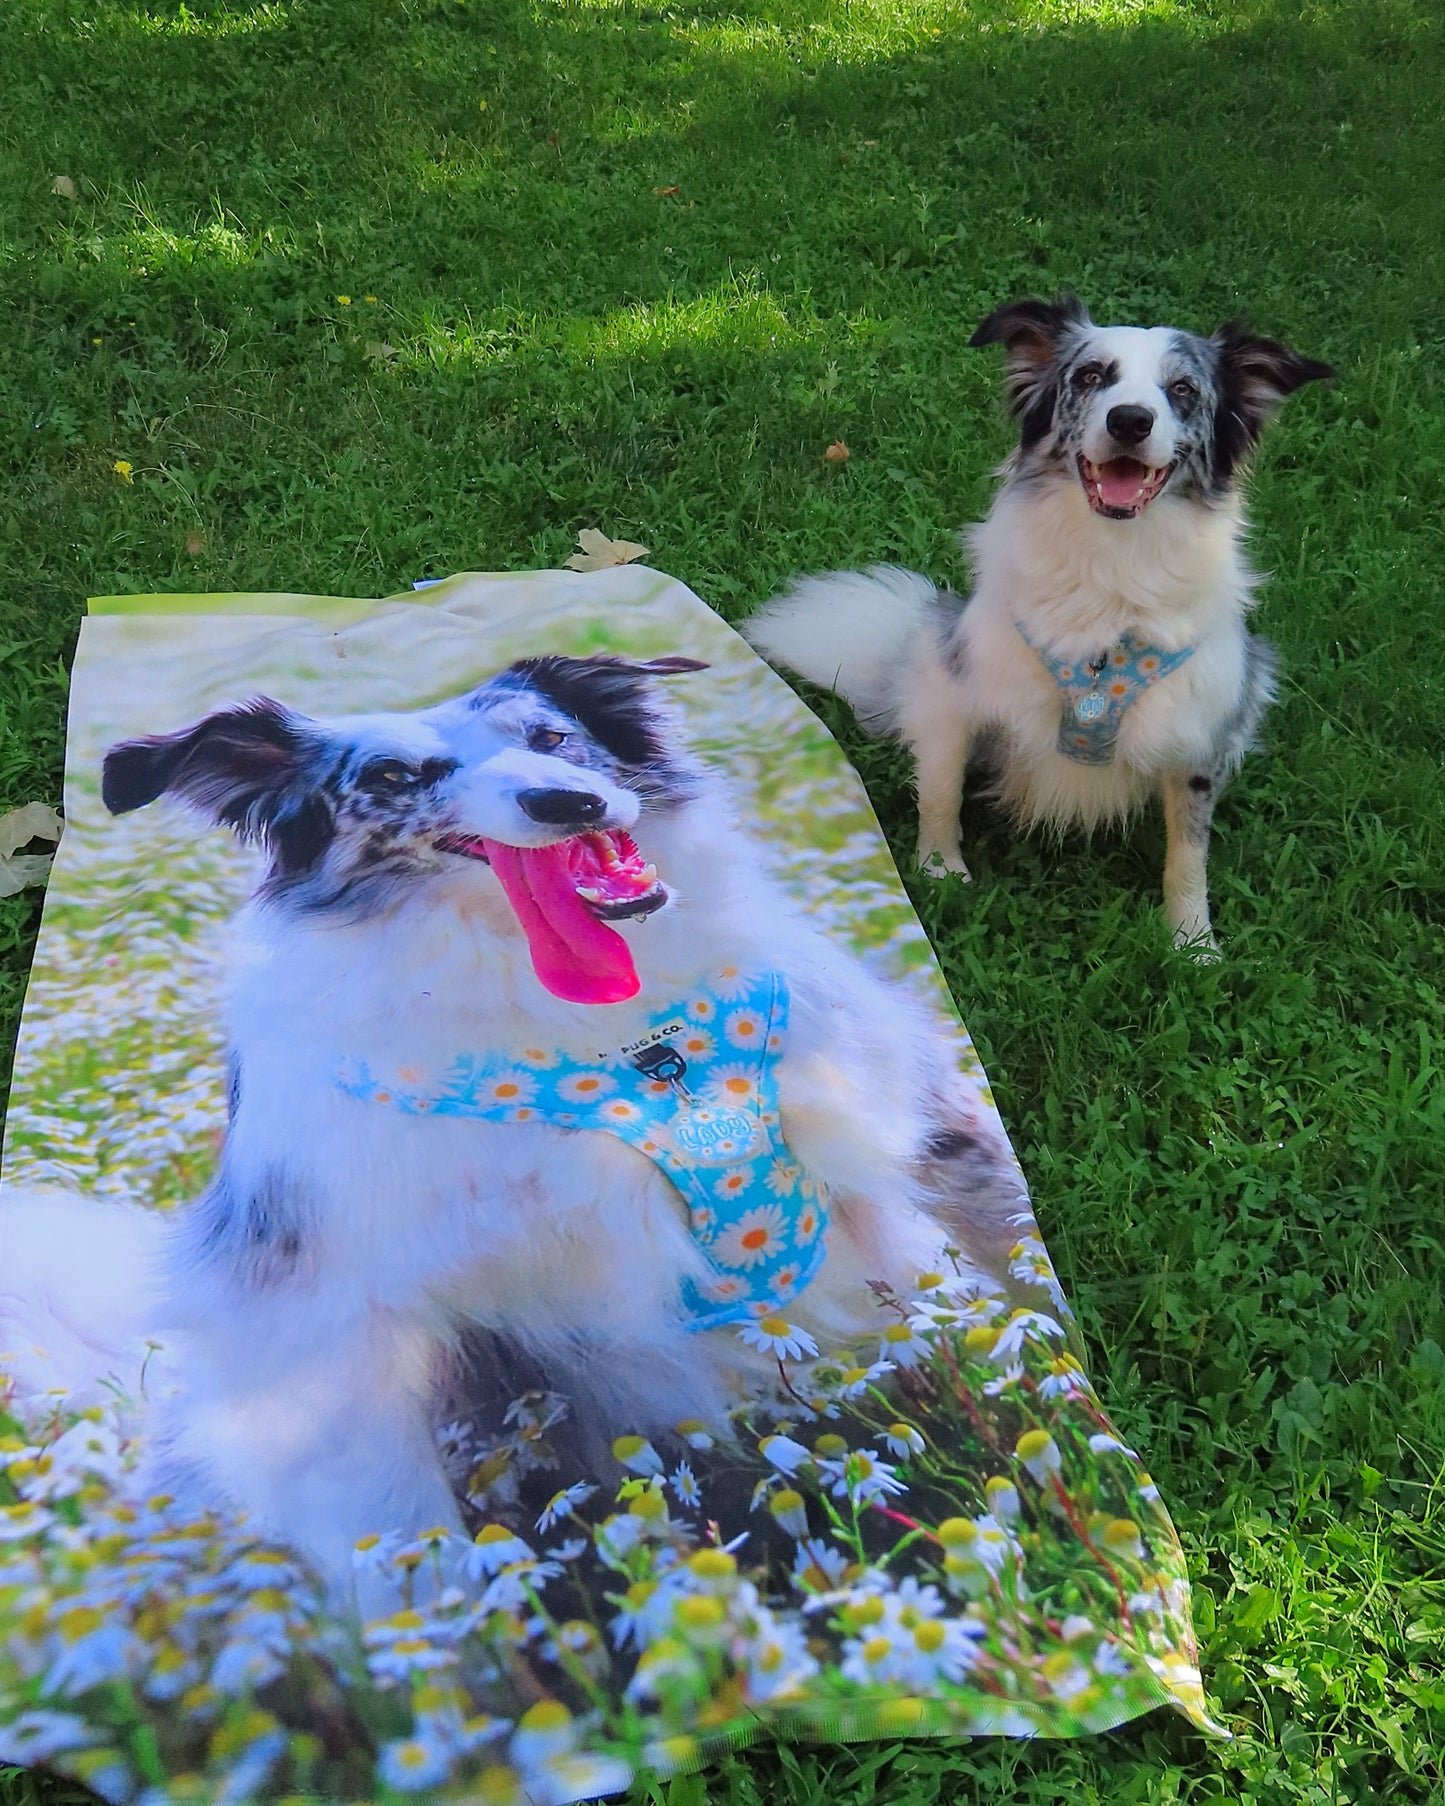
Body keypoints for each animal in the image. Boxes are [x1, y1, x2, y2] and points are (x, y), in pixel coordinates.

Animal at [751, 292, 1329, 960]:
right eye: (1090, 376)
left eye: (1183, 390)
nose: (1130, 421)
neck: (1112, 564)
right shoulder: (956, 691)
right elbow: (942, 792)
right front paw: (942, 874)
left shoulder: (1198, 737)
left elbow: (1189, 852)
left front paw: (1192, 943)